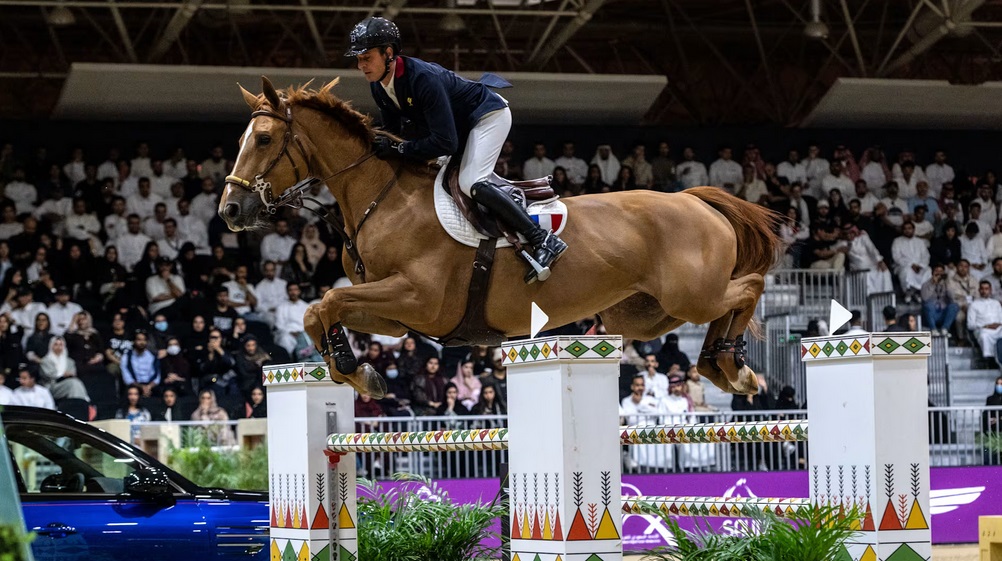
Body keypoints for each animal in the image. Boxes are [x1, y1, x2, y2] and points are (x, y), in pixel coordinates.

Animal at [219, 77, 781, 398]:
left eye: (263, 139)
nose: (231, 210)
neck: (383, 197)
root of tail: (693, 198)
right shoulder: (396, 317)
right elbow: (320, 309)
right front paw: (356, 371)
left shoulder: (419, 299)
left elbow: (328, 301)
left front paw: (353, 370)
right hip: (645, 314)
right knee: (723, 306)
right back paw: (720, 365)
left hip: (691, 293)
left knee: (748, 288)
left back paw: (737, 368)